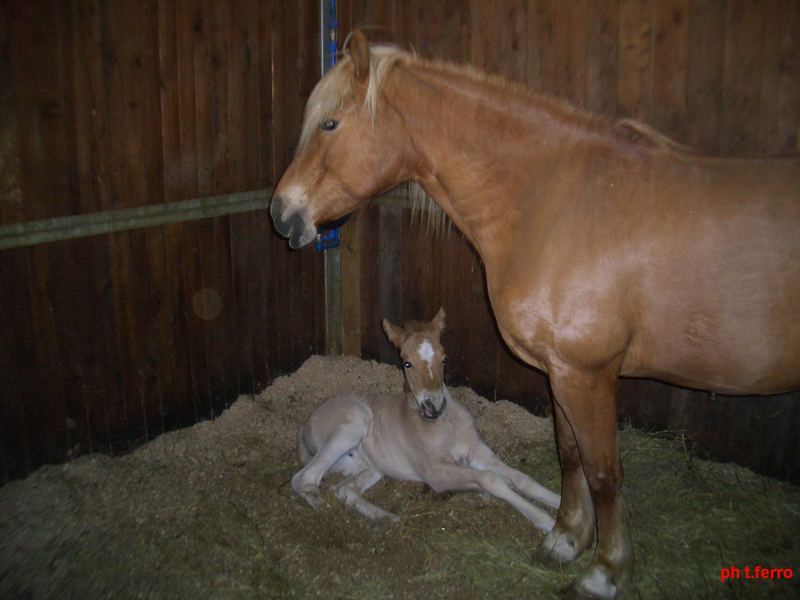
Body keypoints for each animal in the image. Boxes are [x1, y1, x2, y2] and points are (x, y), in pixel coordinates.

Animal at [290, 310, 560, 528]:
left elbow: (520, 478)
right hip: (352, 423)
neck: (445, 425)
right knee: (304, 477)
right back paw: (323, 508)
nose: (434, 406)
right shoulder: (434, 472)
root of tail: (304, 426)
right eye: (406, 363)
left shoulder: (476, 450)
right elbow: (490, 479)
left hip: (370, 466)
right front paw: (546, 522)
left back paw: (387, 518)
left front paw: (560, 505)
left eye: (444, 358)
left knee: (343, 490)